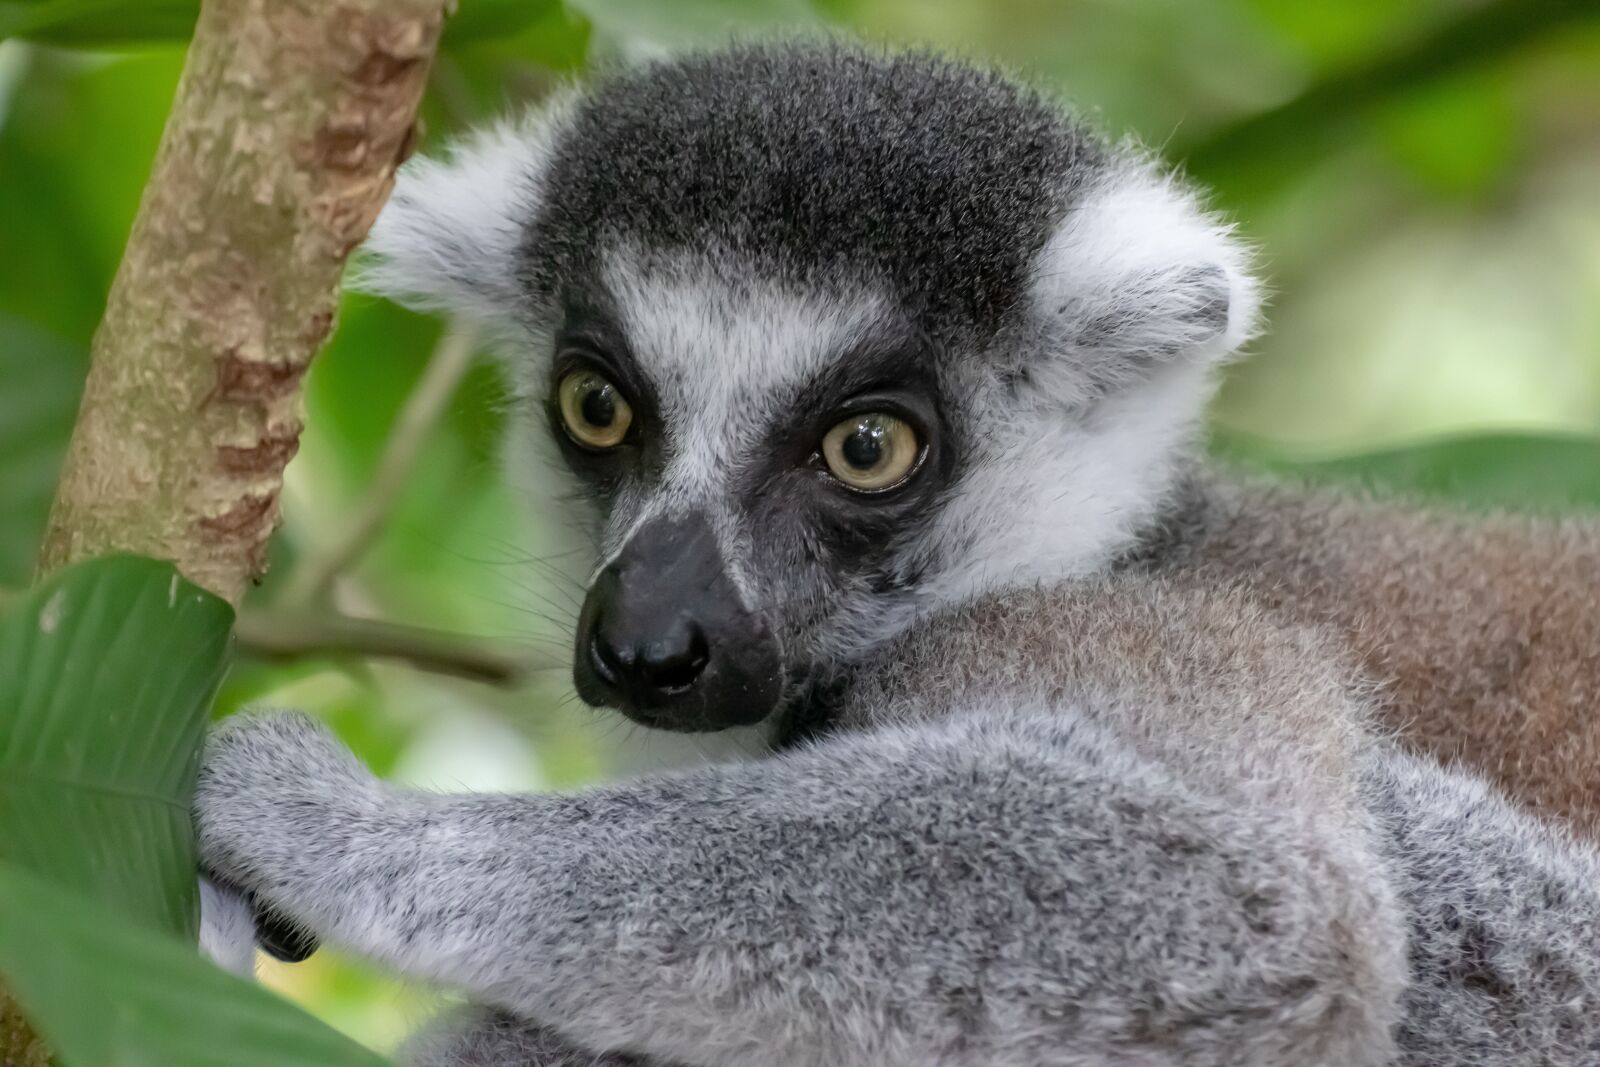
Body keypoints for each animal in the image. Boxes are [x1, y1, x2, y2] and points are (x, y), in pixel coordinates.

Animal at [196, 41, 1600, 1065]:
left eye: (868, 447)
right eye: (597, 406)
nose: (647, 641)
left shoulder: (1132, 624)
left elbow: (1245, 897)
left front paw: (312, 815)